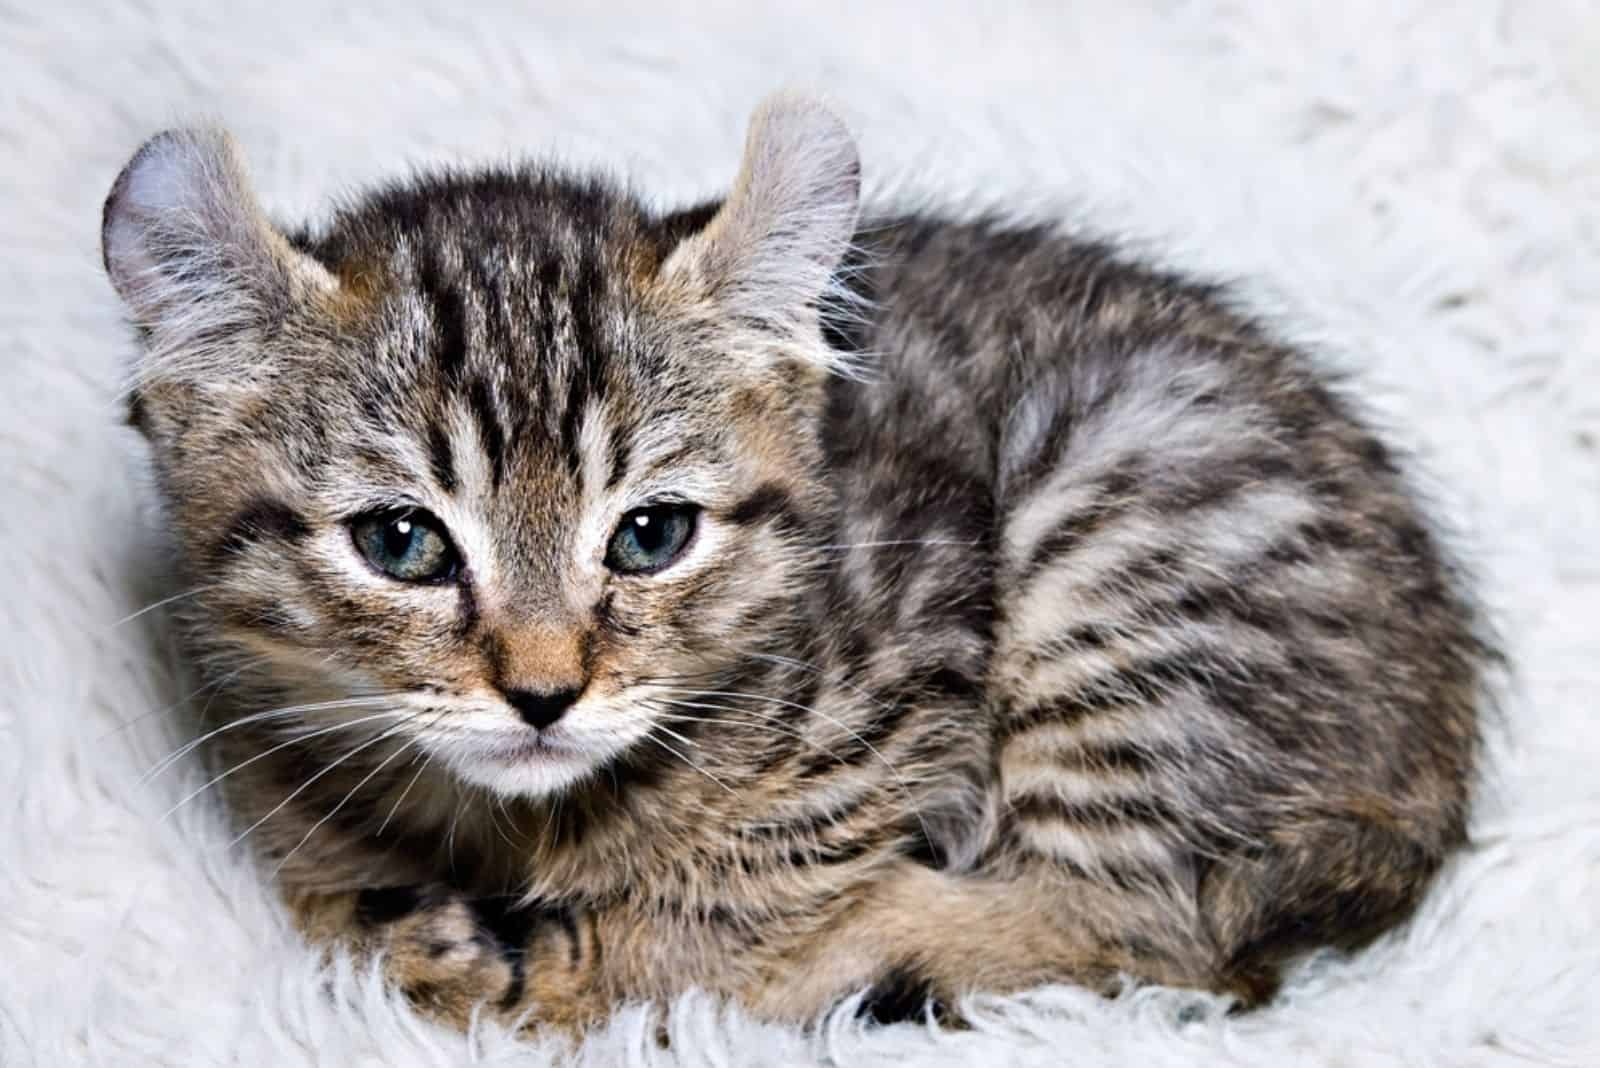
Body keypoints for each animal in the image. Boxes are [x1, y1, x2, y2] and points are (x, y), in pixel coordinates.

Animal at [106, 95, 1491, 1029]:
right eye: (401, 543)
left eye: (651, 534)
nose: (544, 693)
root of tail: (1433, 768)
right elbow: (324, 886)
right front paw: (405, 923)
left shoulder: (907, 664)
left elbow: (752, 877)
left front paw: (598, 965)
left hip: (1126, 525)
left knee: (1157, 930)